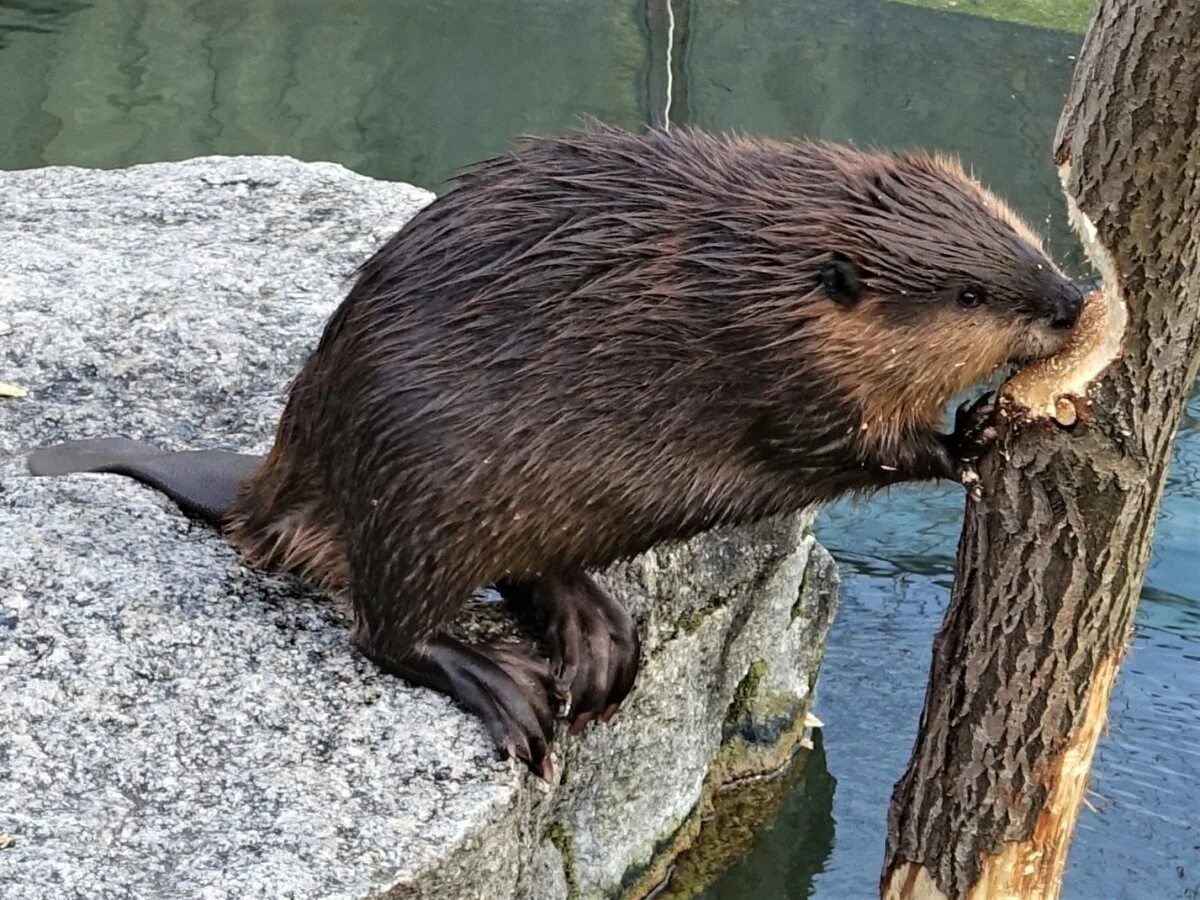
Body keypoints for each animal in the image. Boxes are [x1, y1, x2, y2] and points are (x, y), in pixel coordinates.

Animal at [28, 123, 1089, 777]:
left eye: (1019, 236)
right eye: (968, 294)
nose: (1072, 300)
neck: (749, 271)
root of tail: (270, 489)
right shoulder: (768, 365)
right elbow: (841, 439)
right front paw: (971, 437)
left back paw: (598, 643)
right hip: (421, 494)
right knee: (387, 629)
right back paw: (508, 685)